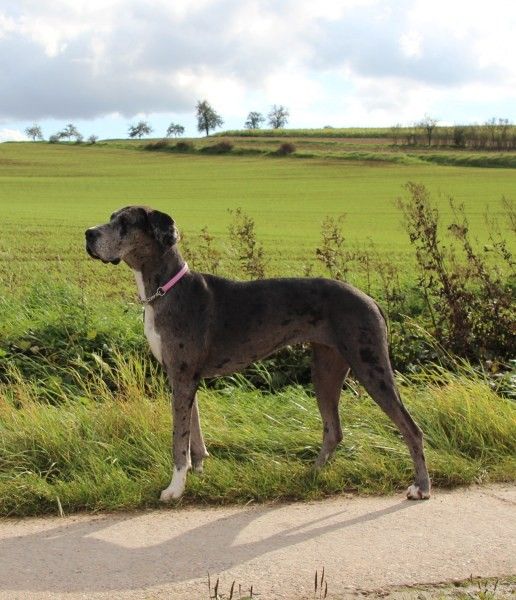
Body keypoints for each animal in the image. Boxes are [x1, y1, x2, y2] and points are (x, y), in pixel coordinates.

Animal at [85, 206, 430, 502]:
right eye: (111, 217)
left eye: (125, 223)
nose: (88, 233)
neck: (165, 288)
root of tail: (371, 300)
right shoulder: (183, 377)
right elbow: (193, 431)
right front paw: (199, 471)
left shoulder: (182, 377)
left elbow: (178, 439)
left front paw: (175, 489)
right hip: (326, 369)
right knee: (334, 430)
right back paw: (312, 474)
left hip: (370, 366)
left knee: (411, 428)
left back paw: (421, 487)